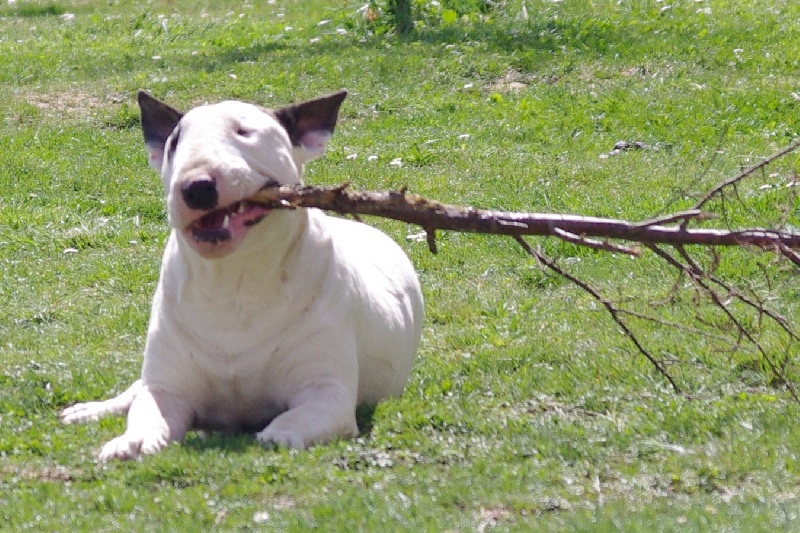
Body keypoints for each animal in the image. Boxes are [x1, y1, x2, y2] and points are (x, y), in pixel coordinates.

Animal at [59, 90, 424, 460]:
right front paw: (130, 442)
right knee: (135, 389)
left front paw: (276, 435)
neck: (233, 282)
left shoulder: (326, 390)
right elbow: (149, 409)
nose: (197, 187)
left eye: (244, 132)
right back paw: (89, 410)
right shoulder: (167, 388)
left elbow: (300, 415)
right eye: (175, 142)